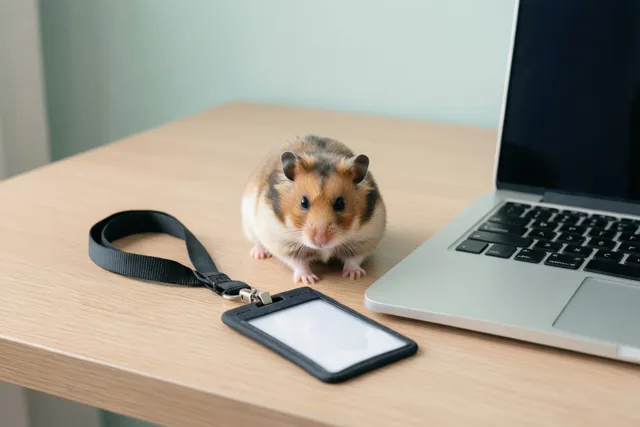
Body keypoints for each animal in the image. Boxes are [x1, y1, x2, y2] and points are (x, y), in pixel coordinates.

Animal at [241, 134, 386, 284]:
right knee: (257, 242)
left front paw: (354, 275)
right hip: (249, 225)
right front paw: (308, 280)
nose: (320, 241)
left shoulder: (365, 239)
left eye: (340, 203)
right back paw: (259, 254)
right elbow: (298, 263)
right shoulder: (282, 241)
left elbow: (354, 259)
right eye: (303, 202)